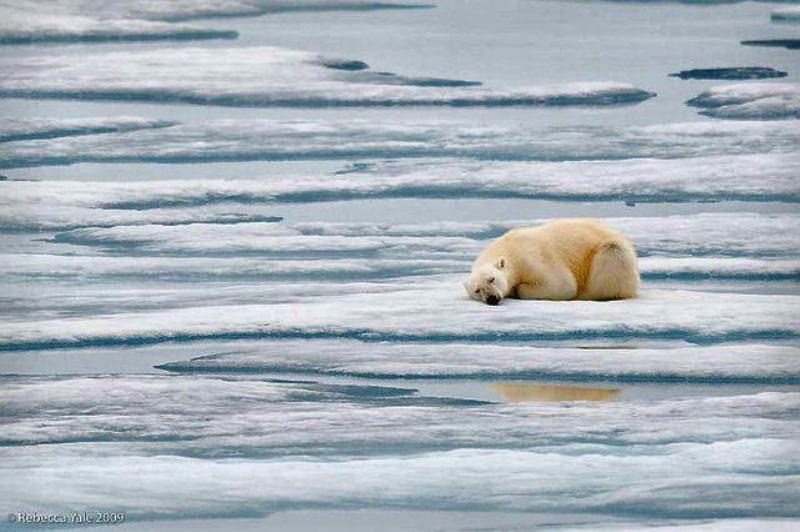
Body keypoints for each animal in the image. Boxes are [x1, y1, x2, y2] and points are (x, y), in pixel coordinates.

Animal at [464, 219, 639, 305]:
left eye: (492, 279)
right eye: (477, 290)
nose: (491, 298)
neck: (509, 248)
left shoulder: (531, 258)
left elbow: (562, 284)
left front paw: (515, 290)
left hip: (611, 253)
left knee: (612, 252)